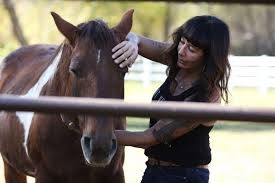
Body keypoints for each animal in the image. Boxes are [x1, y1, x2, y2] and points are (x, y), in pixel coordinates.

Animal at [0, 9, 134, 183]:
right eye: (74, 70)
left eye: (123, 71)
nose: (99, 146)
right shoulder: (44, 175)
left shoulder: (115, 174)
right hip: (11, 167)